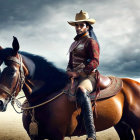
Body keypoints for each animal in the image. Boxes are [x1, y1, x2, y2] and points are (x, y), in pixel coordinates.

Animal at [0, 37, 139, 140]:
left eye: (12, 72)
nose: (0, 102)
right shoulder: (35, 137)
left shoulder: (57, 136)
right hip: (121, 125)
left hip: (136, 125)